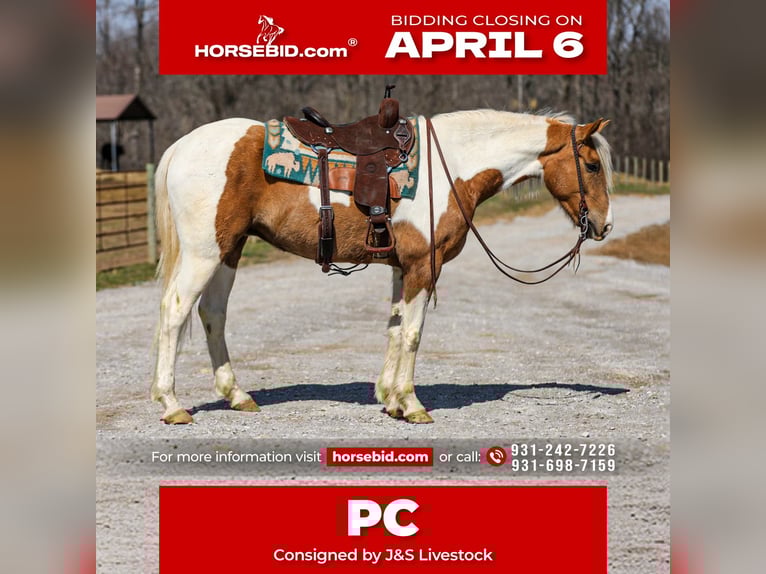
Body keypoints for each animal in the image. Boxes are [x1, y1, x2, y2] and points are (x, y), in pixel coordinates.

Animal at [151, 108, 614, 424]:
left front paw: (390, 399)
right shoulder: (423, 266)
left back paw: (238, 395)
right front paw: (411, 404)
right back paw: (172, 404)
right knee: (174, 312)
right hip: (204, 253)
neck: (452, 167)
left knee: (213, 314)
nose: (604, 225)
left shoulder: (399, 266)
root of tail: (182, 146)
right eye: (591, 165)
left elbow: (394, 328)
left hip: (229, 251)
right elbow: (412, 333)